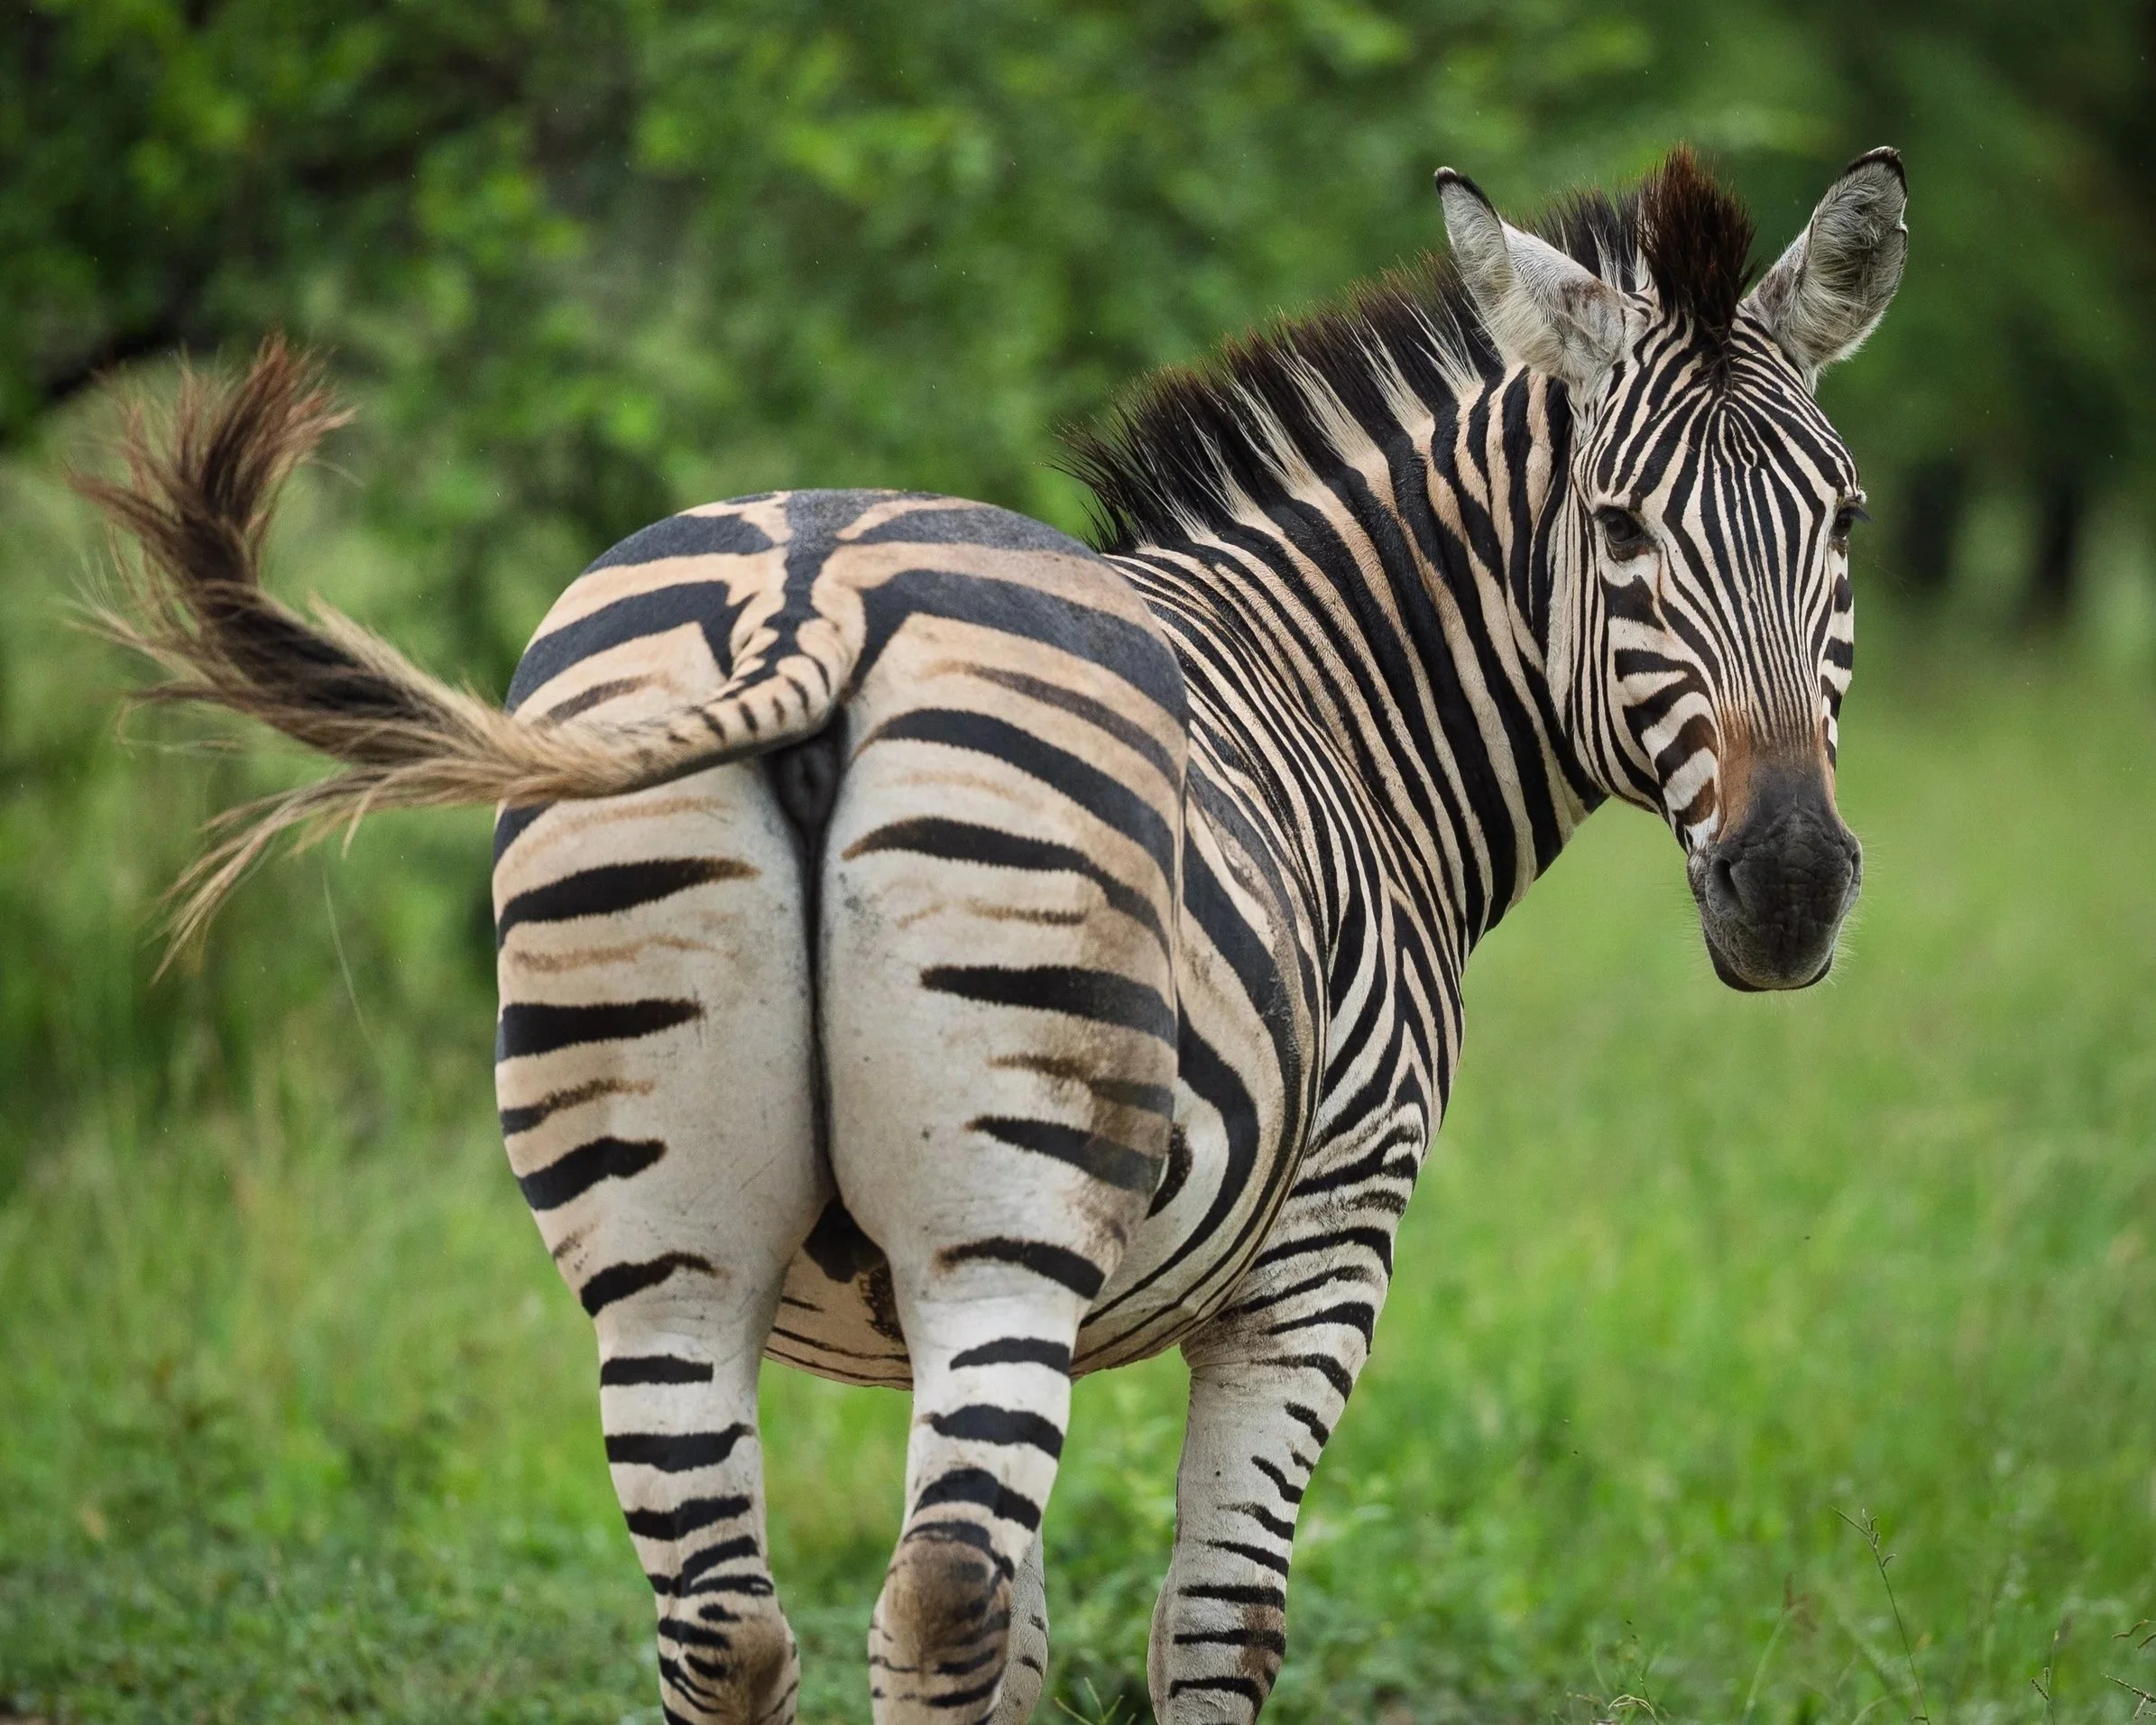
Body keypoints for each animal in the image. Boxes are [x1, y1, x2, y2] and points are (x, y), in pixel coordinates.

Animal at [85, 144, 1905, 1725]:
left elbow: (1025, 1636)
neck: (1342, 696)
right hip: (1006, 1214)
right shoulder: (1323, 1244)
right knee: (935, 1601)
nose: (1790, 886)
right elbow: (1208, 1627)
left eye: (1848, 519)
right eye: (1618, 528)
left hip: (667, 1249)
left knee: (732, 1630)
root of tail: (805, 597)